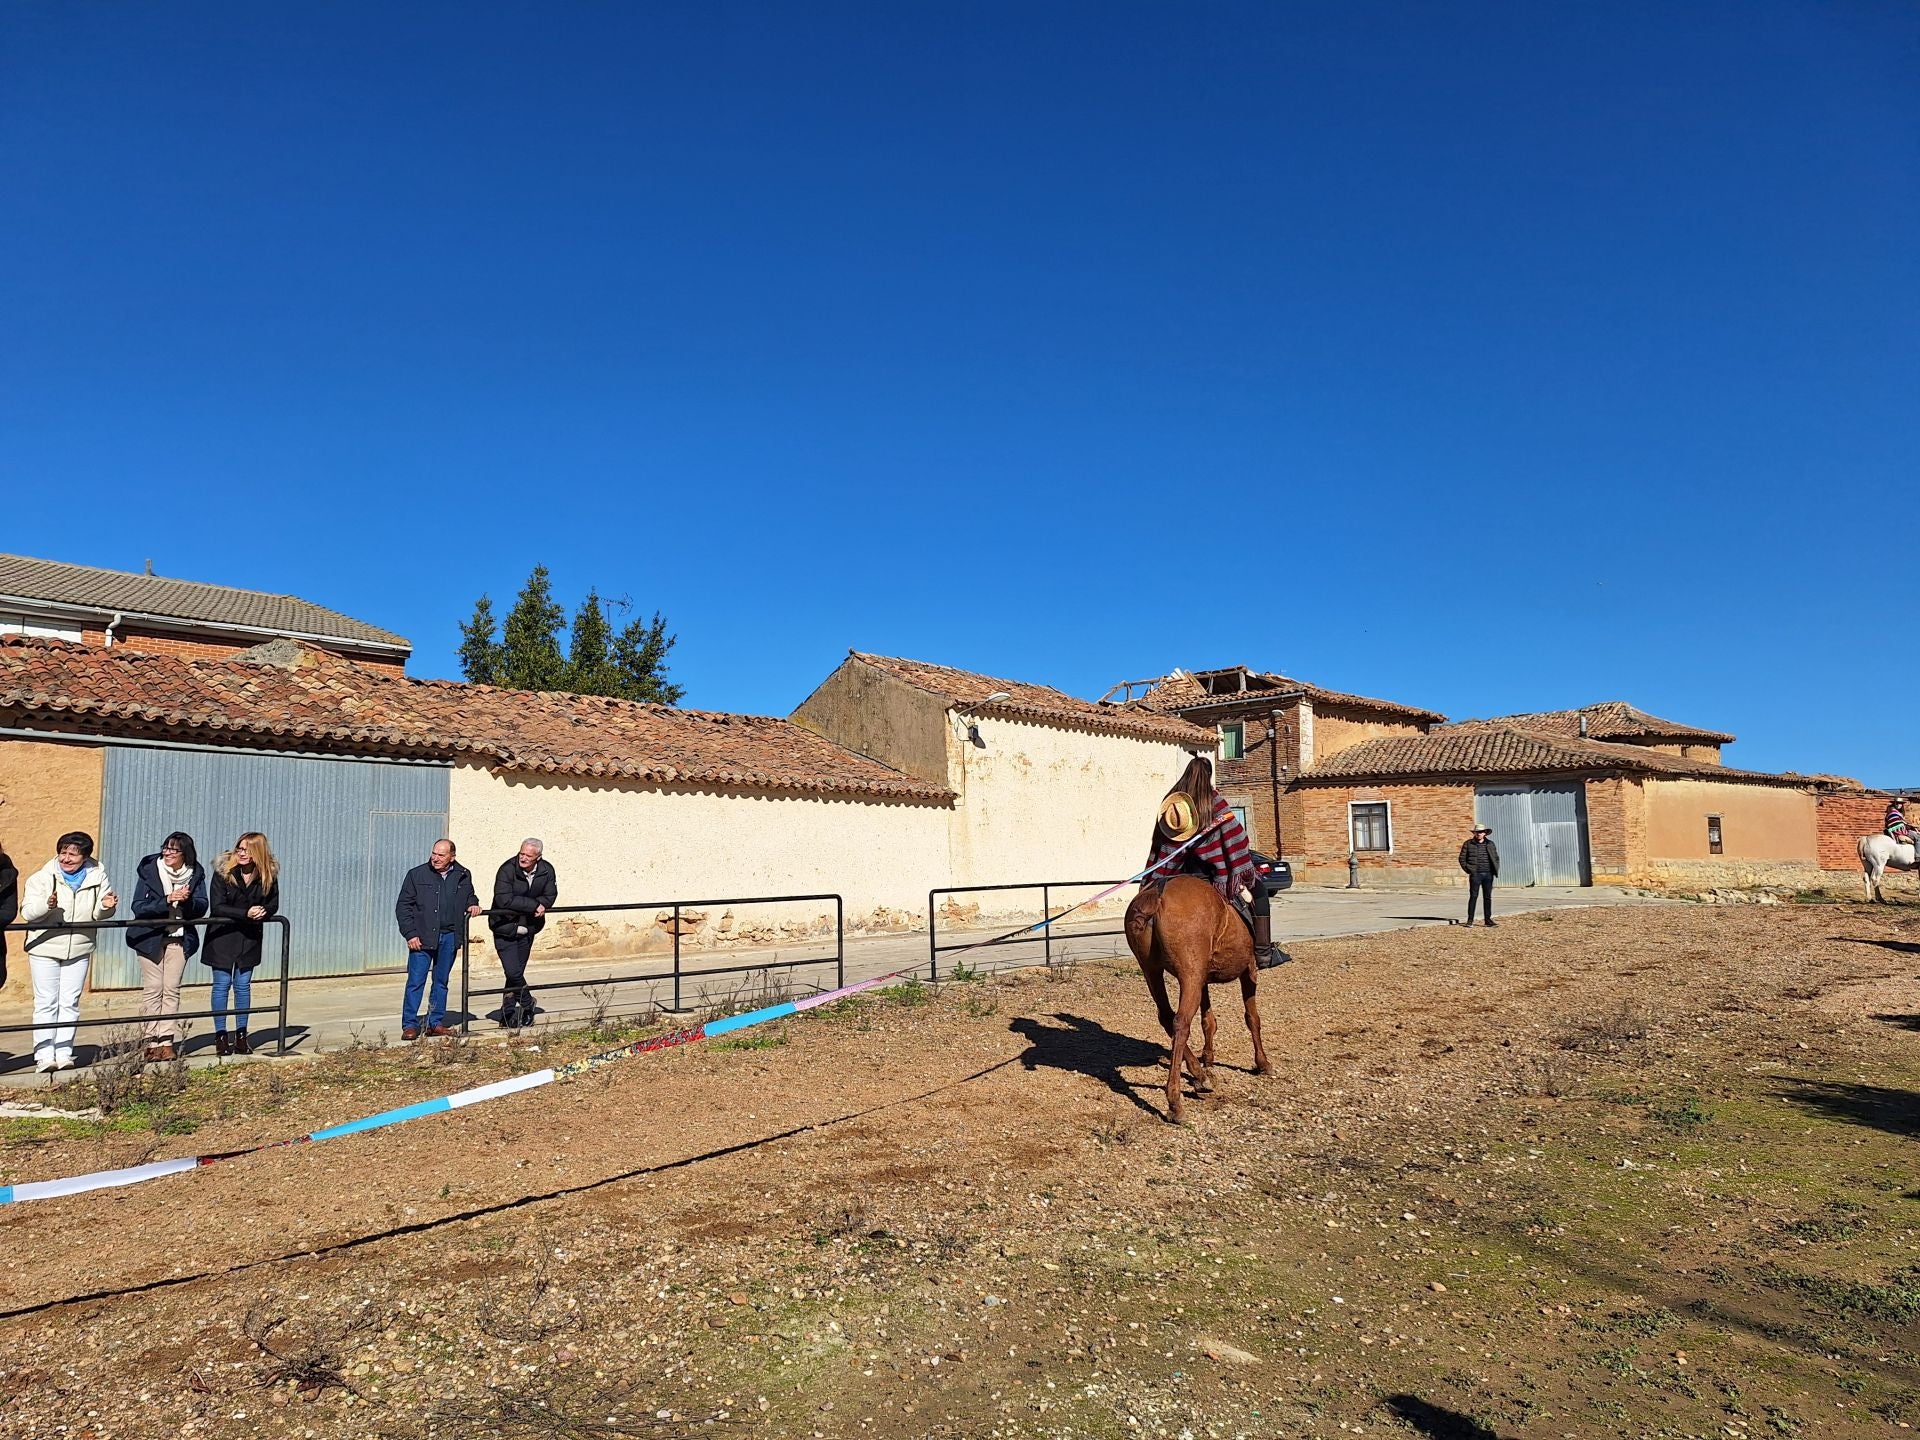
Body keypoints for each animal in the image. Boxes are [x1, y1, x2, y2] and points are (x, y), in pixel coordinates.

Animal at [1121, 879, 1267, 1128]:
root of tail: (1158, 894)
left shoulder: (1204, 979)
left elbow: (1208, 1020)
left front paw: (1208, 1058)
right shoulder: (1249, 970)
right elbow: (1252, 1018)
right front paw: (1262, 1062)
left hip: (1154, 971)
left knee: (1167, 1016)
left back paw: (1200, 1076)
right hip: (1189, 975)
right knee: (1181, 1023)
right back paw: (1175, 1103)